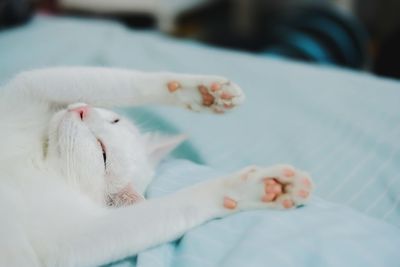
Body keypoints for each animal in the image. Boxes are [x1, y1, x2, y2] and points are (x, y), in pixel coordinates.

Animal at [0, 67, 312, 267]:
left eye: (102, 152)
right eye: (115, 120)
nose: (81, 110)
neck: (41, 161)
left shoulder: (69, 239)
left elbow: (178, 207)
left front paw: (259, 188)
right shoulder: (25, 92)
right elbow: (110, 80)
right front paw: (200, 90)